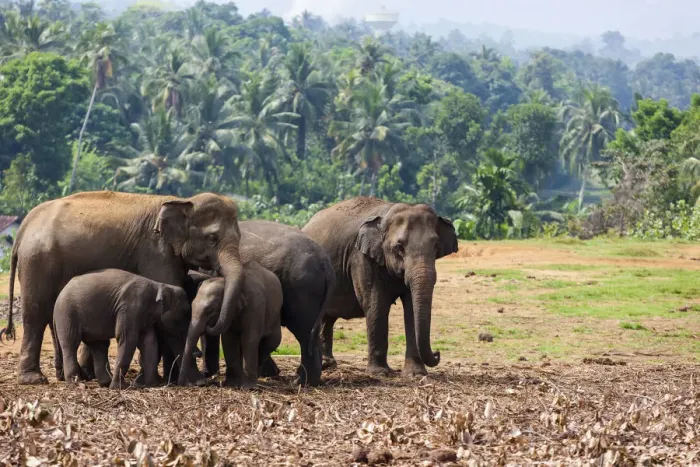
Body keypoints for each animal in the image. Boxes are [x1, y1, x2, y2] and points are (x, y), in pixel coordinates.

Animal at [53, 269, 191, 389]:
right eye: (185, 312)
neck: (159, 285)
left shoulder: (143, 315)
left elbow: (149, 342)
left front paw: (152, 385)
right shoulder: (130, 307)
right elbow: (128, 339)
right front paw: (120, 387)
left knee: (99, 345)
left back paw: (105, 383)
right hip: (67, 313)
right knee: (71, 344)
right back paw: (78, 384)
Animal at [198, 220, 335, 387]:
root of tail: (325, 261)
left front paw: (207, 374)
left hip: (302, 288)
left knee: (304, 334)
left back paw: (301, 382)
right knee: (311, 335)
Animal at [301, 197, 458, 378]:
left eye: (435, 246)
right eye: (399, 247)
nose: (437, 353)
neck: (386, 213)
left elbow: (411, 308)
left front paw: (415, 374)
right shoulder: (361, 257)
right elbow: (377, 303)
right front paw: (380, 373)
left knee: (328, 318)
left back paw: (328, 364)